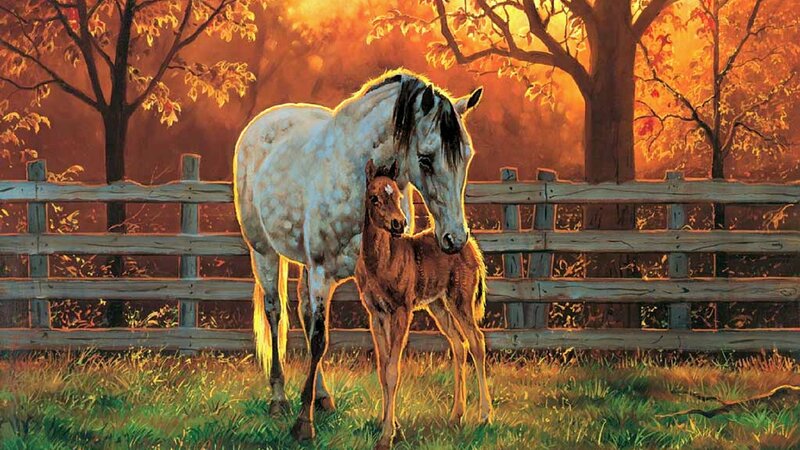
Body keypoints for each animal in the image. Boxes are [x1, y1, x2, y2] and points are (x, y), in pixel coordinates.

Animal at [355, 160, 491, 450]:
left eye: (397, 195)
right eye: (374, 198)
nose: (399, 223)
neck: (381, 263)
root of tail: (469, 245)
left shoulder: (401, 311)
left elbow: (393, 370)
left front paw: (387, 435)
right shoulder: (376, 314)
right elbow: (382, 369)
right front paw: (388, 424)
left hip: (460, 300)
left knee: (476, 341)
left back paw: (485, 415)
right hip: (438, 305)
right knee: (459, 344)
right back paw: (456, 415)